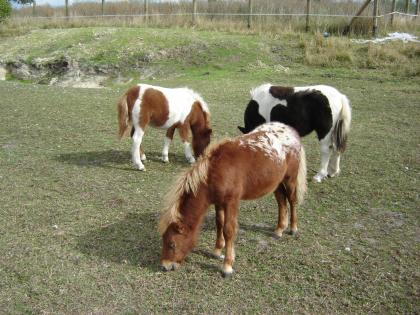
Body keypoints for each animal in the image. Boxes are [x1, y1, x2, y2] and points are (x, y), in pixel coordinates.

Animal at [159, 122, 306, 278]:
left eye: (172, 244)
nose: (165, 266)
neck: (216, 172)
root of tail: (291, 131)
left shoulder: (232, 202)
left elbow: (228, 230)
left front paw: (227, 266)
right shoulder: (218, 202)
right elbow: (219, 223)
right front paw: (217, 251)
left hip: (290, 179)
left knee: (292, 200)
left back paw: (293, 228)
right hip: (275, 182)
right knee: (281, 200)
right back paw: (279, 229)